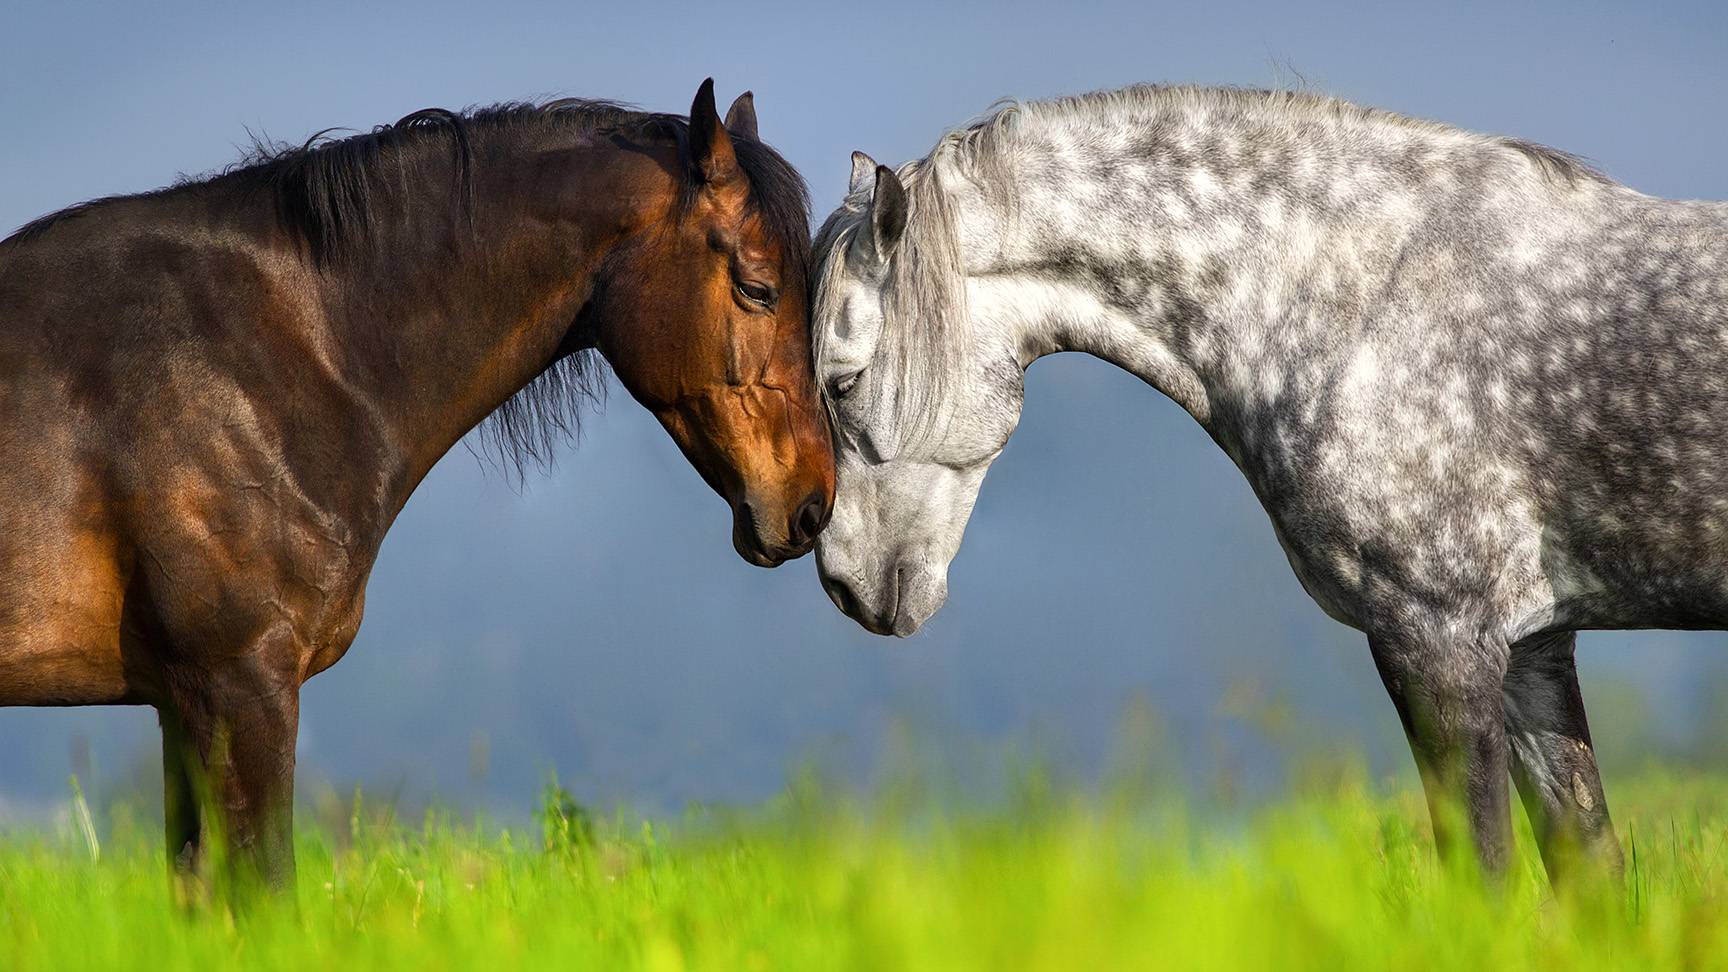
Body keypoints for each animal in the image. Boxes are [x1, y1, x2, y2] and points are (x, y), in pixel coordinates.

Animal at [808, 84, 1728, 884]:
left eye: (843, 382)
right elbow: (1589, 876)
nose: (847, 587)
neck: (1365, 300)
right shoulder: (1535, 648)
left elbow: (1485, 876)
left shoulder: (1440, 641)